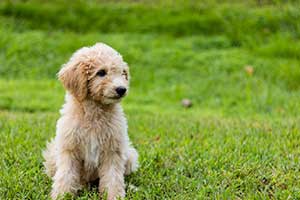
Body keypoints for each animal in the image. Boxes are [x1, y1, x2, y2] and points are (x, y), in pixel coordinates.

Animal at [42, 43, 139, 199]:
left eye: (122, 73)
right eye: (101, 72)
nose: (122, 89)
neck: (94, 114)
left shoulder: (113, 150)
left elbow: (113, 177)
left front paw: (114, 196)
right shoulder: (69, 148)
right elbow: (66, 175)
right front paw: (62, 195)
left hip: (129, 154)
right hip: (52, 154)